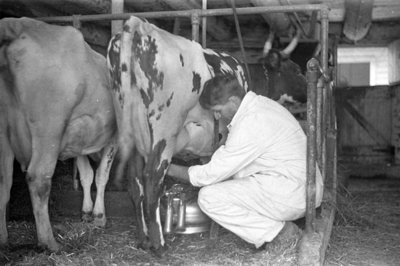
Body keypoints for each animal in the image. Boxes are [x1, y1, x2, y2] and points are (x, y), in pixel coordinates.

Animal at [0, 17, 117, 251]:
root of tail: (17, 25)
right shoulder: (114, 139)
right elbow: (101, 176)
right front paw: (99, 216)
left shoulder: (79, 142)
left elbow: (86, 175)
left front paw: (86, 212)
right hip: (50, 126)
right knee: (39, 178)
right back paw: (49, 242)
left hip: (3, 128)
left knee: (3, 181)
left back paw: (3, 240)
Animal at [108, 16, 248, 254]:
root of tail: (141, 26)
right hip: (165, 127)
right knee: (152, 178)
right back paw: (160, 245)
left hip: (129, 125)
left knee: (135, 182)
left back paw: (144, 239)